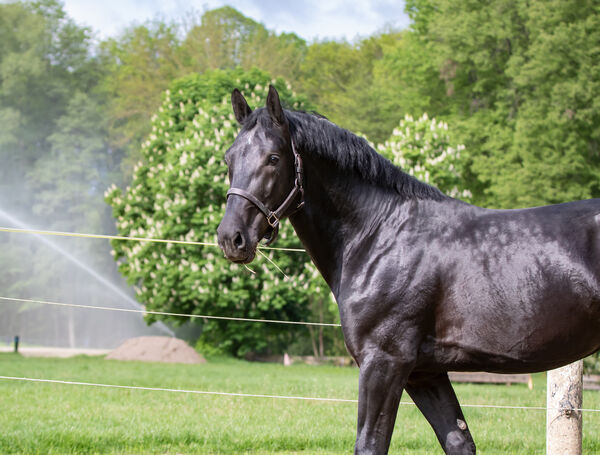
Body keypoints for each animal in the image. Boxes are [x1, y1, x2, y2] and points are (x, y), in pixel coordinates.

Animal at [216, 86, 600, 455]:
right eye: (229, 158)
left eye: (273, 158)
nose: (231, 238)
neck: (380, 234)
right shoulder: (425, 372)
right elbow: (459, 441)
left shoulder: (383, 363)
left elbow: (370, 445)